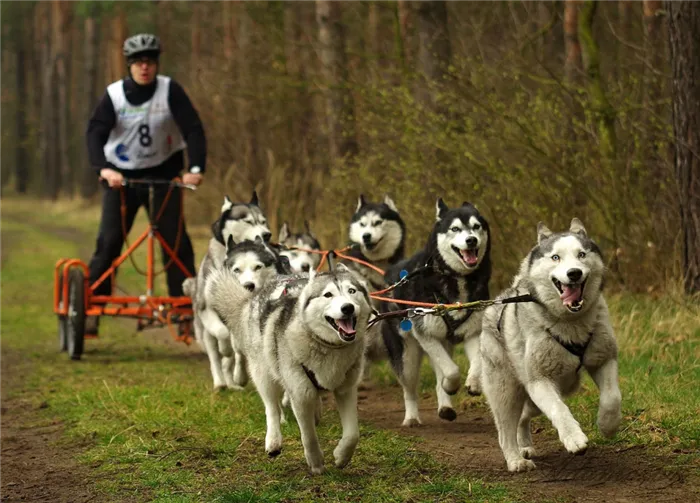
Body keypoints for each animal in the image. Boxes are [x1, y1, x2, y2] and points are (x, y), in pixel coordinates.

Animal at [208, 266, 372, 474]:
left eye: (352, 291)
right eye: (328, 294)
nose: (348, 307)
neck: (326, 346)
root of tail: (257, 294)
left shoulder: (346, 389)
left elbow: (352, 434)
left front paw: (342, 457)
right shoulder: (301, 394)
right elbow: (308, 435)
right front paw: (316, 463)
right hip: (264, 372)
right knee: (271, 407)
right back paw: (273, 440)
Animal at [380, 199, 490, 428]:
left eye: (476, 226)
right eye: (455, 229)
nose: (471, 240)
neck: (456, 279)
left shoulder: (473, 332)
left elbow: (474, 362)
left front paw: (473, 383)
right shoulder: (427, 335)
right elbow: (452, 370)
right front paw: (452, 385)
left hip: (442, 343)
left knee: (440, 374)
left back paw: (445, 406)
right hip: (407, 355)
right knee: (409, 388)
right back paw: (412, 417)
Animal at [482, 220, 624, 472]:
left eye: (581, 254)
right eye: (556, 257)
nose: (574, 273)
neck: (570, 323)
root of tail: (499, 301)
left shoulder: (603, 359)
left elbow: (612, 397)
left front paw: (608, 424)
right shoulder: (539, 380)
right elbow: (559, 409)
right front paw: (574, 438)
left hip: (544, 394)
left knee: (523, 417)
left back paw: (524, 445)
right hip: (506, 390)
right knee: (505, 429)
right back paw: (515, 459)